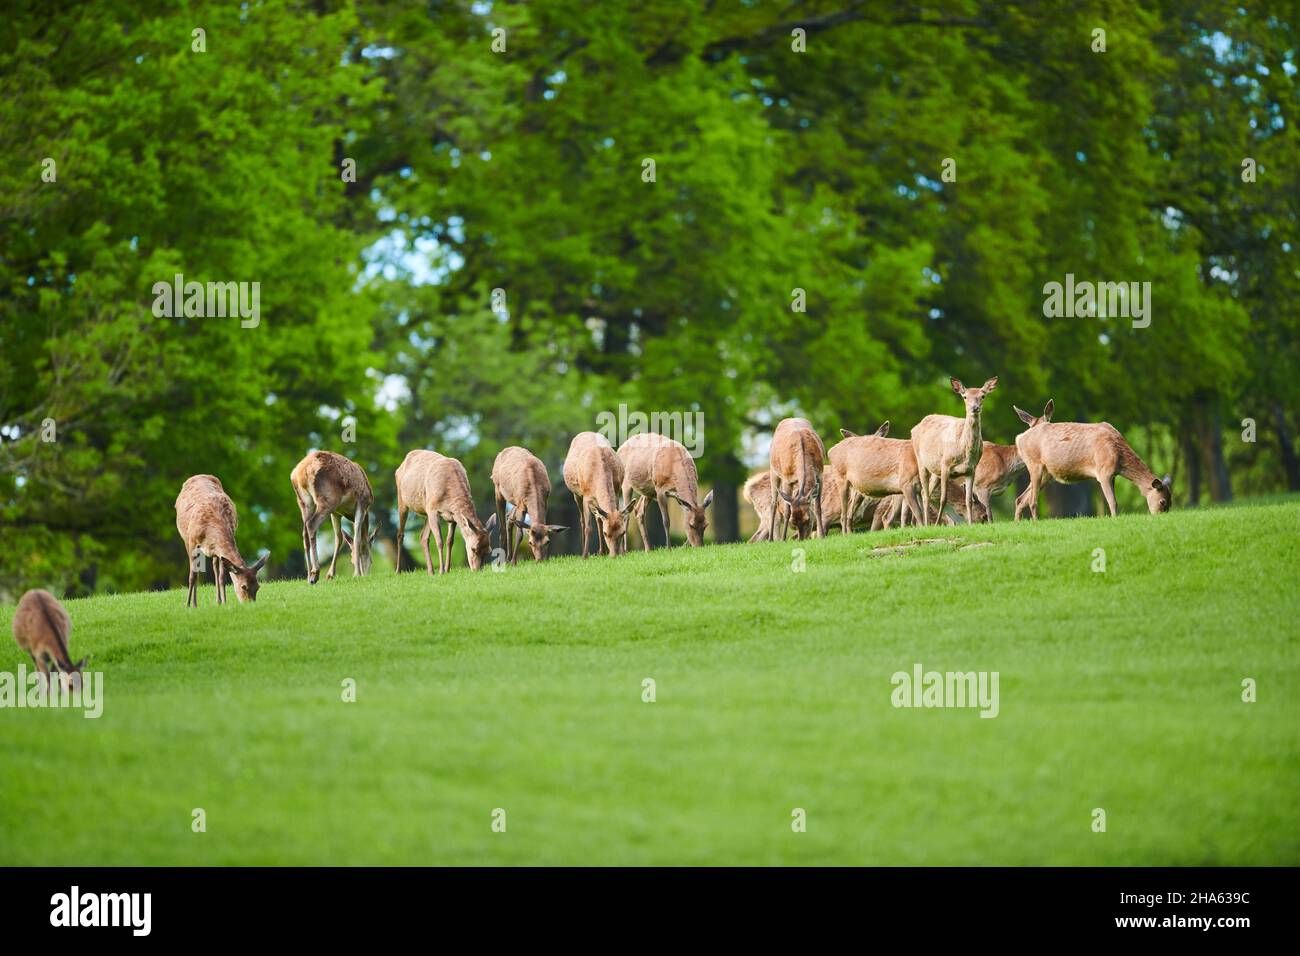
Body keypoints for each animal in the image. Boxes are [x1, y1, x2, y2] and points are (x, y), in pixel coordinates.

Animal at [174, 475, 269, 606]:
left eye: (258, 586)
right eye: (244, 586)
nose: (250, 604)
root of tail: (197, 475)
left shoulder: (220, 550)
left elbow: (222, 577)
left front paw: (224, 602)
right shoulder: (191, 541)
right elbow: (193, 575)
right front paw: (188, 605)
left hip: (215, 552)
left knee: (215, 569)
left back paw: (218, 601)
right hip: (186, 538)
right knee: (197, 571)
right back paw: (194, 603)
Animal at [290, 450, 378, 583]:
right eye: (371, 560)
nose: (366, 575)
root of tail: (301, 472)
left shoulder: (336, 513)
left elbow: (339, 538)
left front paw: (330, 575)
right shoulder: (362, 503)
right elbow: (357, 538)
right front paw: (356, 574)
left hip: (303, 502)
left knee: (304, 533)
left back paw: (308, 576)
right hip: (328, 499)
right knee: (312, 525)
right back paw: (315, 573)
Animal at [911, 377, 998, 526]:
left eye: (982, 396)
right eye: (965, 396)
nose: (974, 408)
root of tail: (915, 427)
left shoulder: (971, 469)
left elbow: (968, 500)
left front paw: (970, 524)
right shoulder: (946, 464)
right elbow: (943, 498)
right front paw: (936, 524)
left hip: (936, 471)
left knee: (924, 492)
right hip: (922, 462)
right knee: (926, 493)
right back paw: (926, 524)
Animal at [1012, 400, 1172, 518]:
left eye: (1171, 503)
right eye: (1162, 502)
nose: (1162, 516)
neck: (1118, 454)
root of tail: (1019, 439)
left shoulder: (1113, 474)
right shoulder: (1104, 471)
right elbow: (1112, 501)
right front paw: (1115, 519)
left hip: (1047, 474)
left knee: (1021, 499)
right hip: (1035, 464)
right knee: (1032, 501)